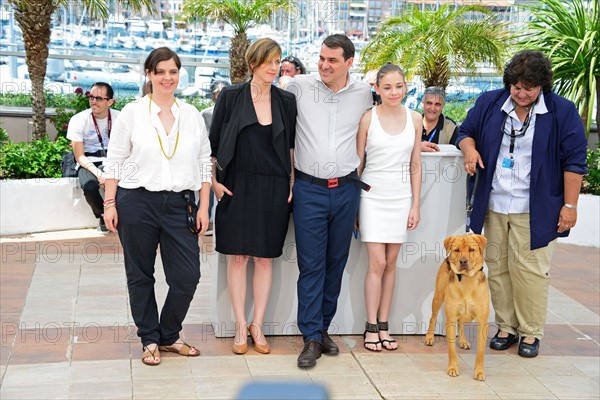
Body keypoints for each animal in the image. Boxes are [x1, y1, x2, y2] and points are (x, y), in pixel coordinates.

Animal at [424, 234, 490, 382]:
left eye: (471, 249)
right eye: (457, 250)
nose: (463, 261)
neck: (467, 281)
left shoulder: (482, 322)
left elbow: (481, 352)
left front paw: (479, 372)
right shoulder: (451, 319)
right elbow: (452, 350)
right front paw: (453, 368)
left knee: (462, 323)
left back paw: (463, 340)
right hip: (438, 297)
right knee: (433, 317)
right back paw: (429, 337)